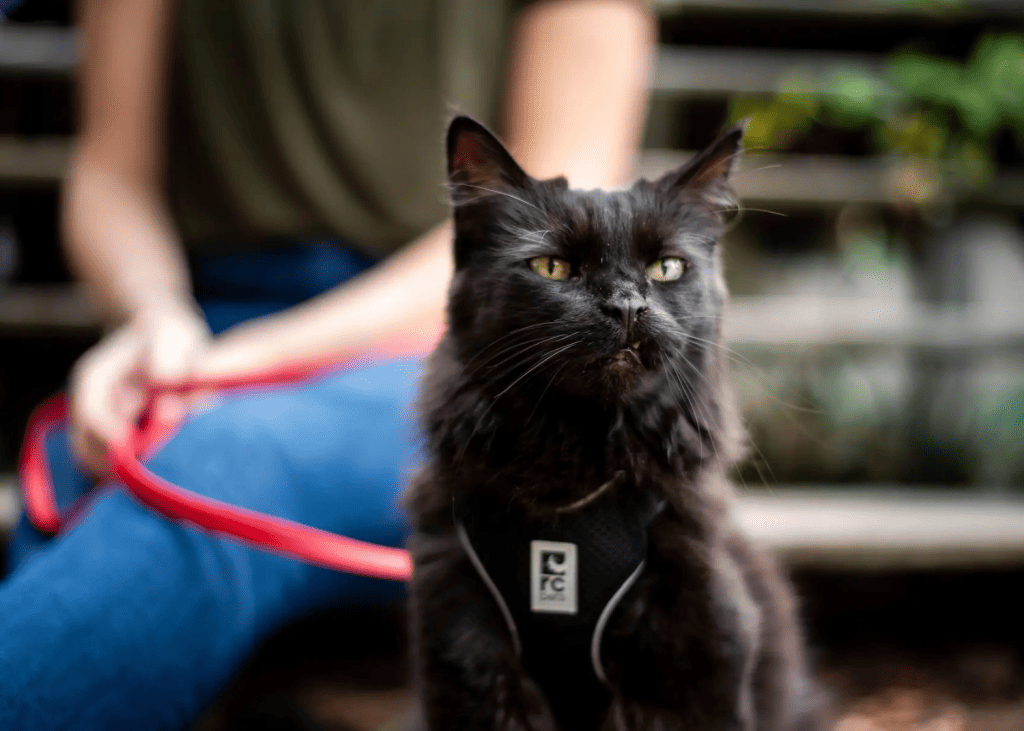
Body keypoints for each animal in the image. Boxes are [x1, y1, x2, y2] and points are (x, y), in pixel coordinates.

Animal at [401, 116, 823, 728]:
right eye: (552, 267)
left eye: (665, 268)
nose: (627, 306)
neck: (577, 466)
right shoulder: (463, 639)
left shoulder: (700, 641)